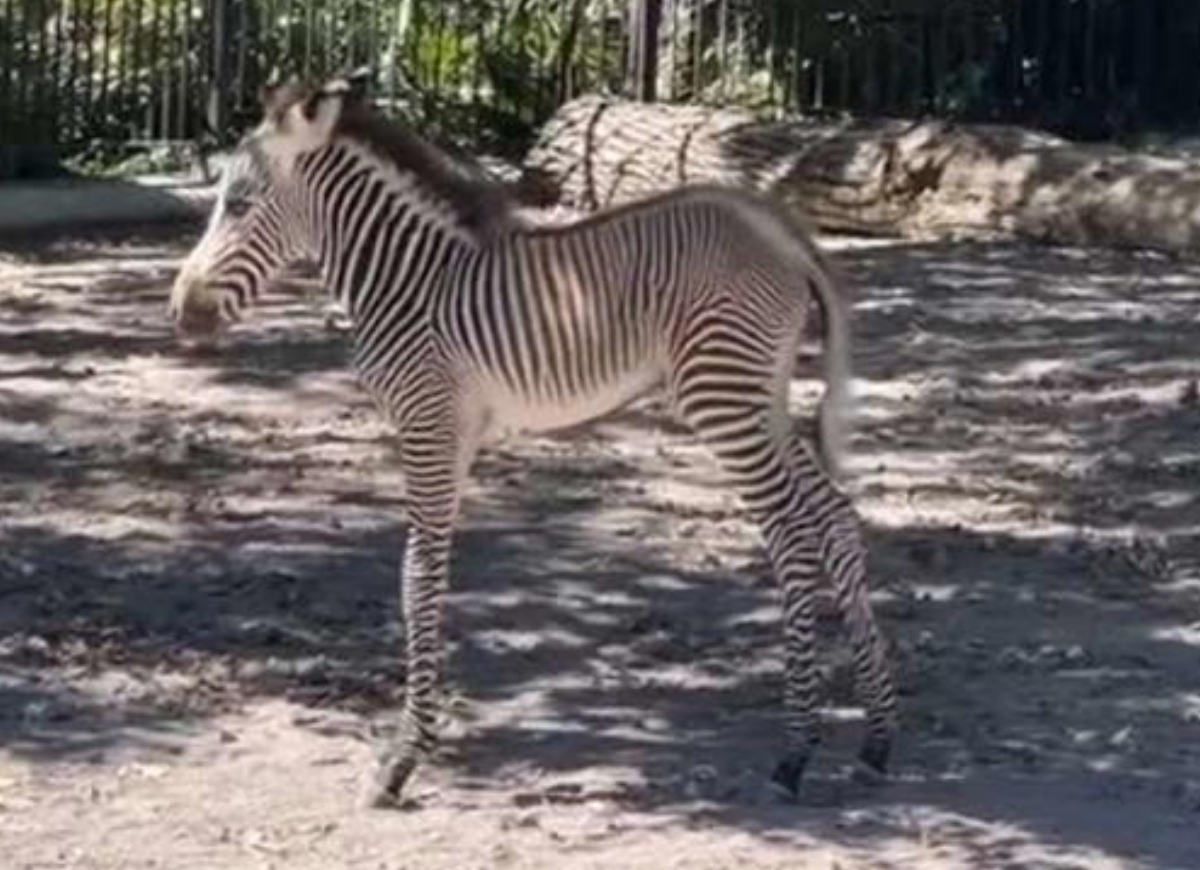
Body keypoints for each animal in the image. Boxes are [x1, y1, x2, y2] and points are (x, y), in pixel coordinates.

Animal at [171, 78, 902, 806]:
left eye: (239, 205)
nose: (180, 313)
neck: (408, 281)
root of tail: (778, 229)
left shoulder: (429, 424)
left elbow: (416, 576)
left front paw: (403, 758)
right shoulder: (456, 434)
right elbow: (431, 572)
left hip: (722, 398)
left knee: (792, 535)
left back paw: (796, 751)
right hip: (760, 397)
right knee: (834, 517)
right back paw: (876, 739)